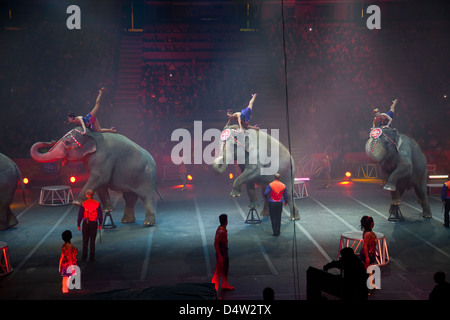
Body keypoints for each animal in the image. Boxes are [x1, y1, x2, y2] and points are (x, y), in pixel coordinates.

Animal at [29, 126, 158, 226]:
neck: (93, 134)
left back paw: (148, 223)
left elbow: (99, 178)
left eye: (67, 143)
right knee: (129, 197)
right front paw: (108, 209)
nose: (51, 140)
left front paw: (76, 203)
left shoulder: (103, 156)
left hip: (146, 177)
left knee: (146, 197)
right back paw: (127, 221)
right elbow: (101, 184)